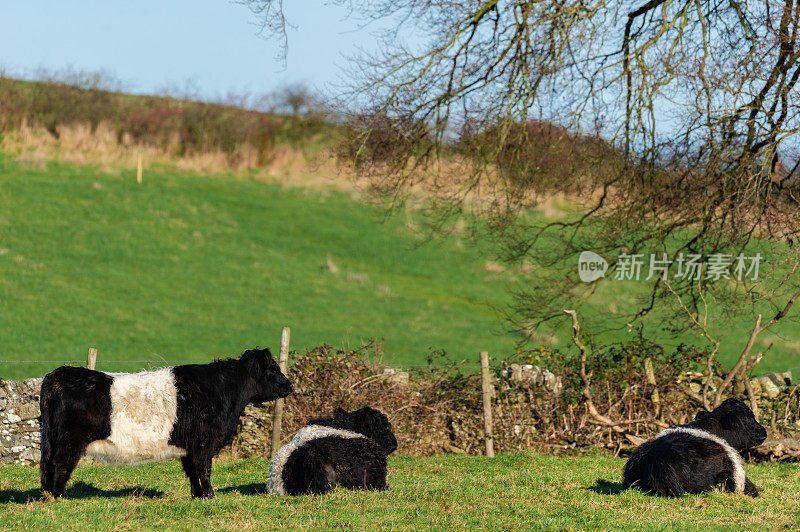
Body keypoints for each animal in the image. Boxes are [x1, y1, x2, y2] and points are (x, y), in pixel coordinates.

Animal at [39, 348, 290, 500]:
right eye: (273, 370)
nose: (290, 385)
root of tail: (59, 374)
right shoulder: (204, 442)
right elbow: (204, 469)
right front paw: (210, 496)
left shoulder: (189, 447)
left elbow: (192, 472)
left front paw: (197, 497)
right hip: (69, 443)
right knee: (60, 465)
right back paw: (58, 497)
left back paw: (47, 496)